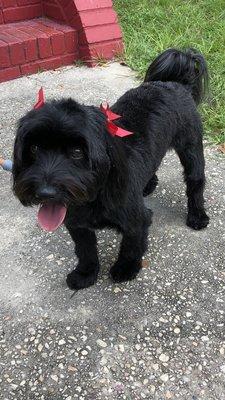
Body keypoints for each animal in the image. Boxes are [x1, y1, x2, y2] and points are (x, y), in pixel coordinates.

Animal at [11, 48, 209, 290]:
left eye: (77, 152)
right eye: (34, 148)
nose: (45, 193)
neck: (96, 192)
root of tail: (174, 83)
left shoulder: (137, 220)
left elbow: (131, 245)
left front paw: (125, 268)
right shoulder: (77, 224)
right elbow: (85, 250)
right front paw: (85, 273)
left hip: (191, 148)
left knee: (195, 183)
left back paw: (197, 215)